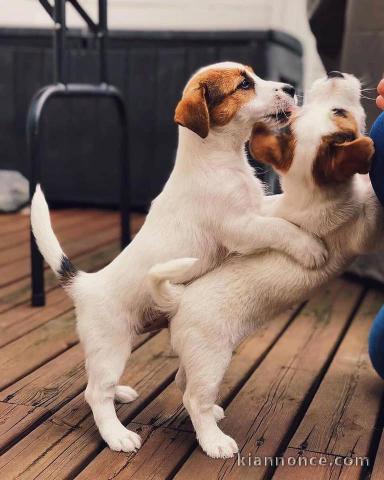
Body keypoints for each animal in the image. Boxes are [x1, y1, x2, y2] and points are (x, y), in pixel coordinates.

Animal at [30, 62, 328, 452]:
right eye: (244, 85)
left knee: (95, 386)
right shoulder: (241, 227)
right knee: (95, 393)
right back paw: (117, 435)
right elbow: (280, 229)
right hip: (111, 344)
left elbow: (279, 212)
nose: (291, 88)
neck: (217, 158)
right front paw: (310, 248)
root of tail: (85, 284)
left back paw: (122, 394)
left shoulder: (256, 208)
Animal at [148, 71, 380, 458]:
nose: (333, 74)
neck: (309, 194)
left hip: (197, 356)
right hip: (211, 358)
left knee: (184, 381)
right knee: (194, 398)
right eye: (341, 112)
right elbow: (371, 208)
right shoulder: (362, 233)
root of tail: (178, 300)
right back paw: (214, 440)